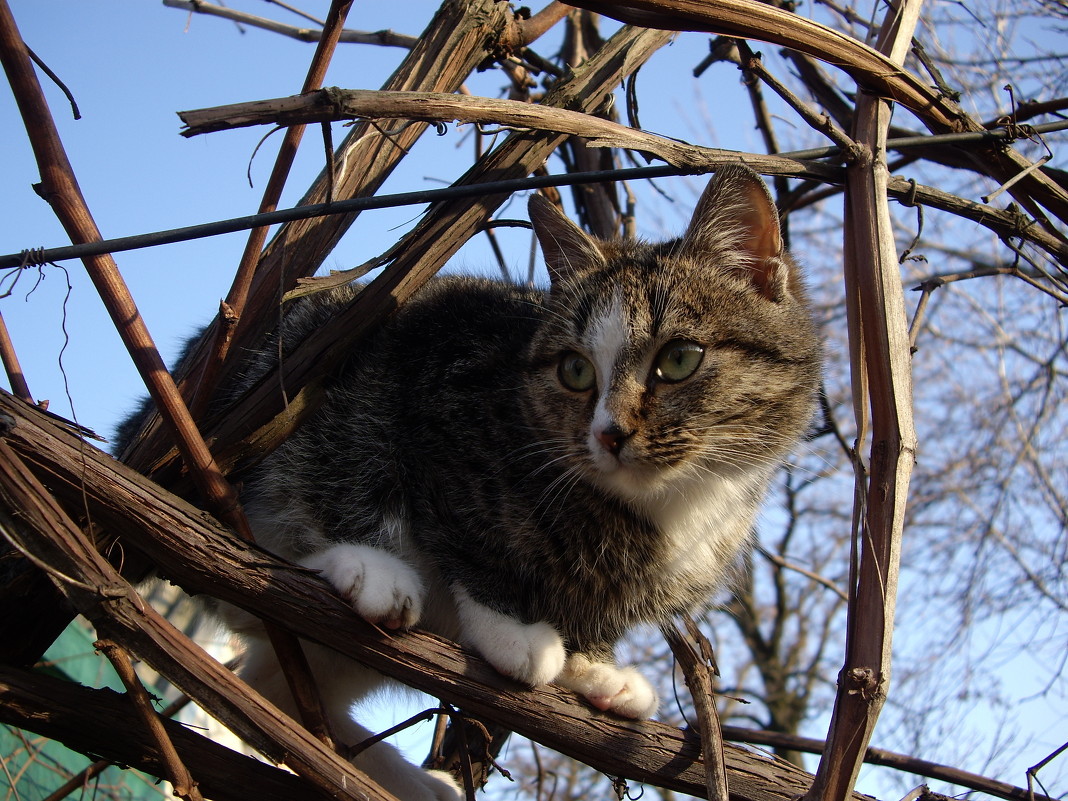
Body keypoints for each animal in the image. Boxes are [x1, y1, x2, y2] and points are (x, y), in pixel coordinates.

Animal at [124, 164, 820, 801]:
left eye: (679, 359)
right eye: (574, 371)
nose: (608, 434)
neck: (670, 502)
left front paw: (592, 666)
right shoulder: (433, 359)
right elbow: (458, 522)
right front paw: (513, 630)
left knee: (272, 681)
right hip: (278, 372)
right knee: (272, 511)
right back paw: (365, 568)